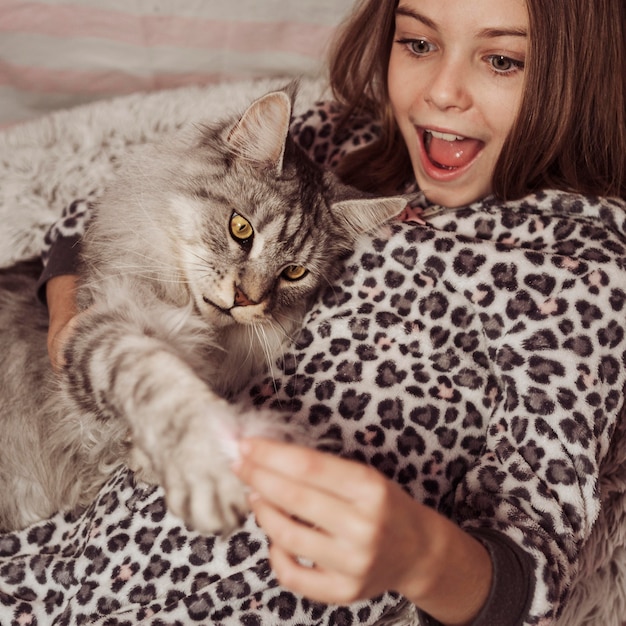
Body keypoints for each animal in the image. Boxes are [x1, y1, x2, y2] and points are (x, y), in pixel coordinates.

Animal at [0, 84, 402, 532]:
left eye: (294, 272)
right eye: (241, 229)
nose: (246, 298)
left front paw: (147, 459)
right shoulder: (102, 328)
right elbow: (160, 384)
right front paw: (206, 461)